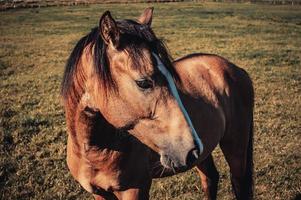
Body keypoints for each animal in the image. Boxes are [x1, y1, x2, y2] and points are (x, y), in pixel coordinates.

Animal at [61, 7, 253, 199]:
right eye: (143, 83)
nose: (191, 150)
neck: (93, 151)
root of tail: (235, 68)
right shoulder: (99, 193)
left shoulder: (136, 190)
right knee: (210, 178)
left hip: (235, 149)